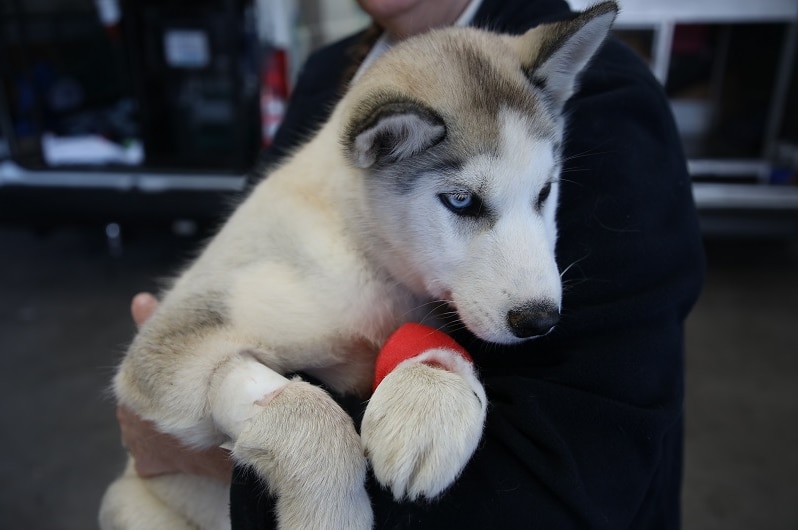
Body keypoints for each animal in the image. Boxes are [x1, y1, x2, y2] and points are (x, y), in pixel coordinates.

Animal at [100, 5, 620, 528]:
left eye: (544, 192)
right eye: (461, 201)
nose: (540, 320)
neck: (360, 251)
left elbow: (428, 343)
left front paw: (427, 404)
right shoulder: (172, 340)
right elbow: (304, 404)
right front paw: (330, 510)